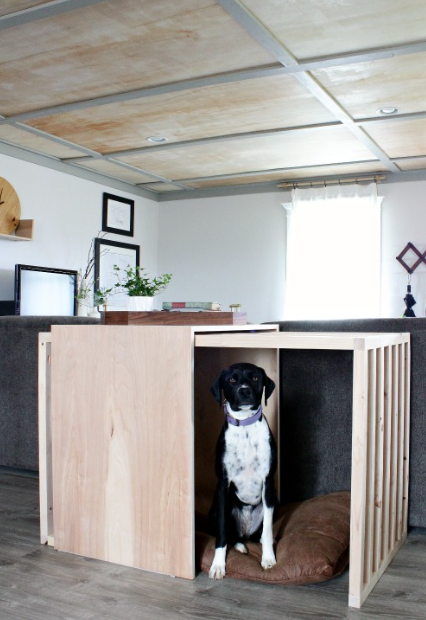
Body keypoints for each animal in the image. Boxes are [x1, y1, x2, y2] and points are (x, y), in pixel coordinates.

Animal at [209, 360, 276, 580]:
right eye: (231, 380)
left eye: (255, 377)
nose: (244, 390)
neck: (245, 427)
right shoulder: (223, 485)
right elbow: (221, 533)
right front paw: (218, 565)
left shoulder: (268, 484)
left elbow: (268, 530)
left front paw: (268, 558)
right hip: (216, 507)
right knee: (231, 535)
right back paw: (239, 545)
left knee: (261, 532)